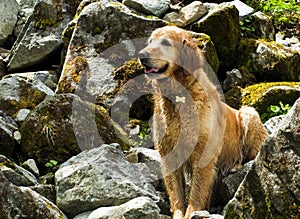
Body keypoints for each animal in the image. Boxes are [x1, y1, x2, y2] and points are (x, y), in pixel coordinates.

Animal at [138, 26, 268, 219]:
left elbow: (197, 192)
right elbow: (175, 193)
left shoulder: (203, 153)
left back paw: (235, 165)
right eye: (150, 42)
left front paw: (192, 212)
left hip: (248, 113)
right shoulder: (168, 153)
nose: (141, 55)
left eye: (166, 42)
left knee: (250, 156)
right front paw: (179, 214)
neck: (178, 97)